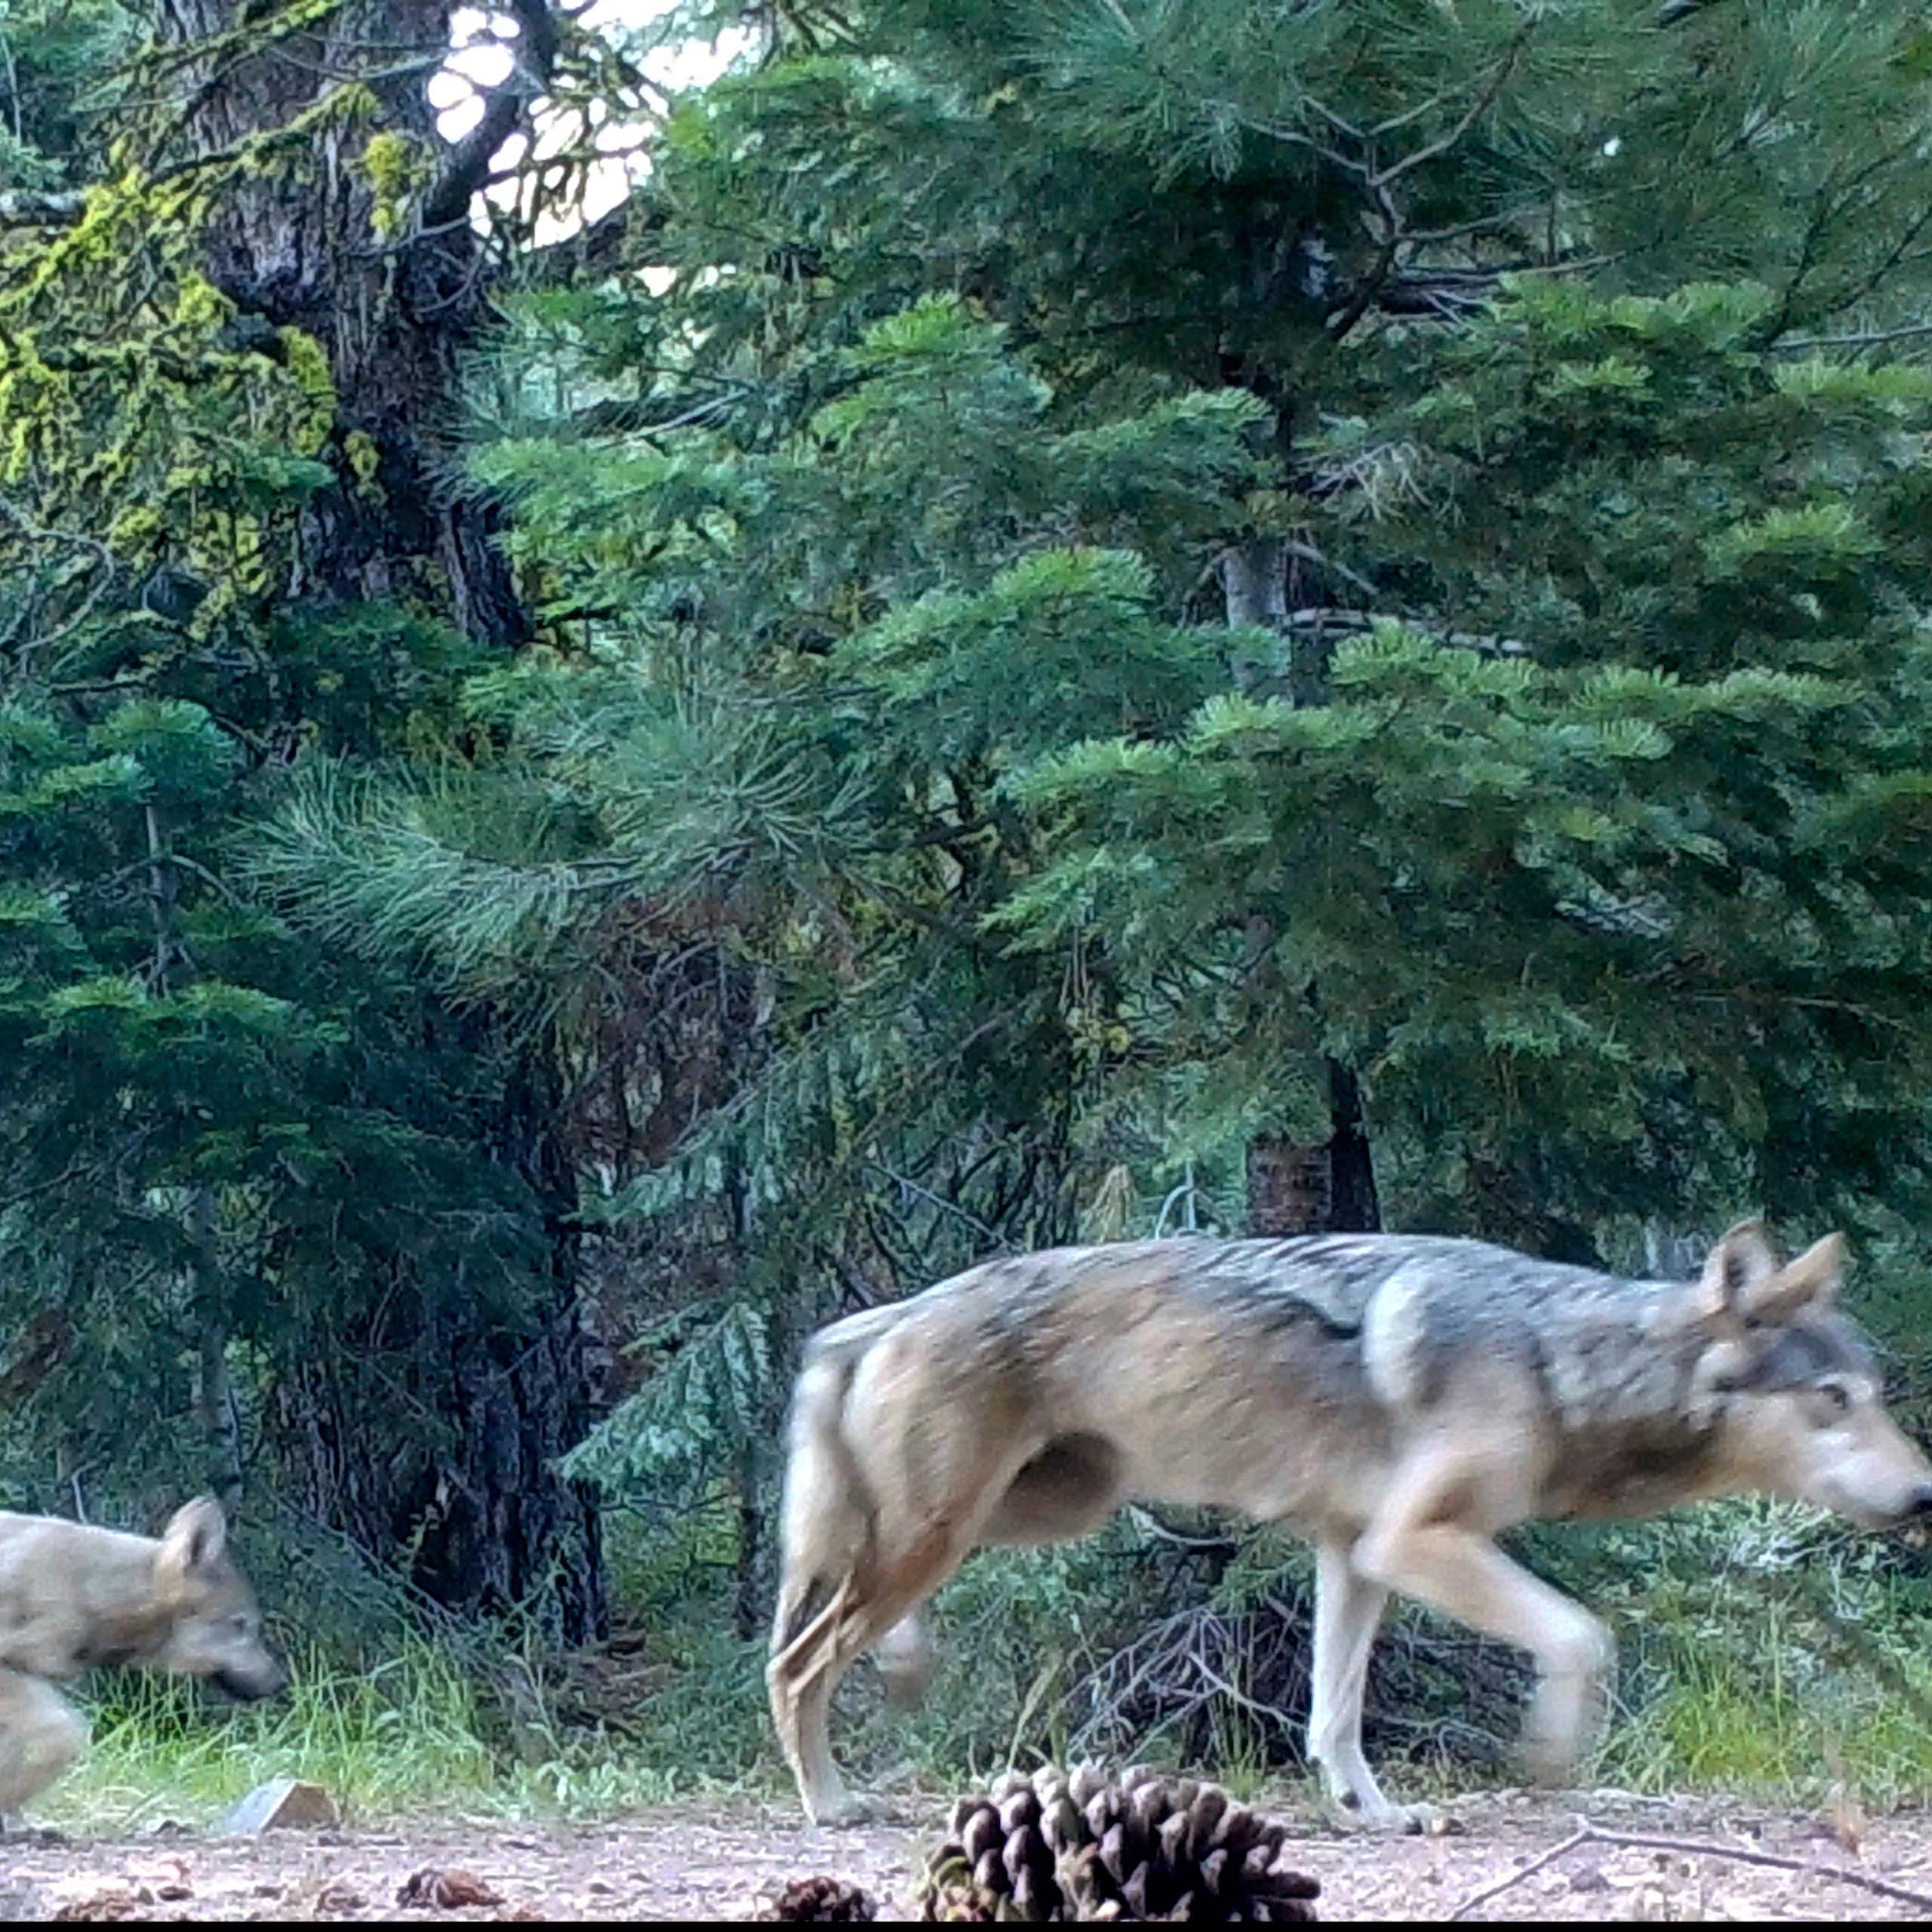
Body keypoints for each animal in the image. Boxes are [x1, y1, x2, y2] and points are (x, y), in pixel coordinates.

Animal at [767, 1221, 1932, 1829]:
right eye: (1832, 1400)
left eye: (1875, 1394)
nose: (1926, 1497)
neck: (1561, 1364)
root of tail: (879, 1316)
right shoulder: (1412, 1543)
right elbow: (1583, 1636)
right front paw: (1551, 1755)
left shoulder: (1354, 1551)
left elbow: (1334, 1712)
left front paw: (1369, 1813)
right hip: (946, 1532)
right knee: (797, 1663)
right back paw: (830, 1801)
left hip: (1032, 1515)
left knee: (844, 1625)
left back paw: (903, 1670)